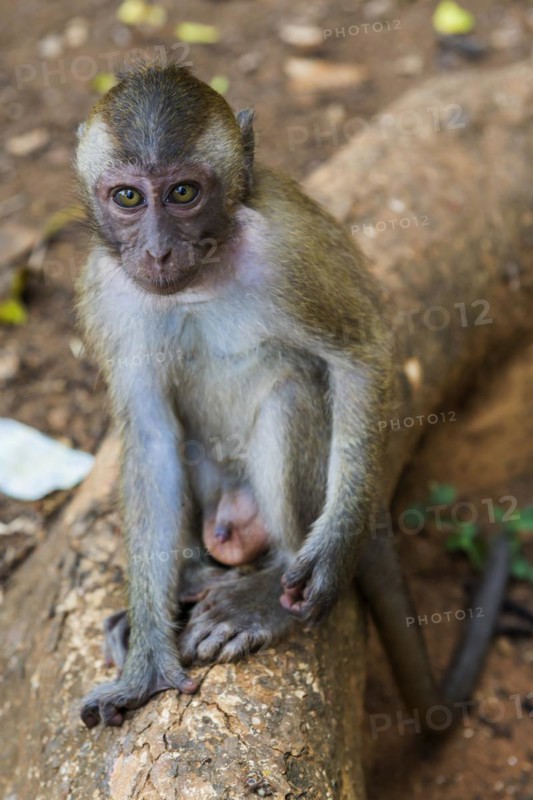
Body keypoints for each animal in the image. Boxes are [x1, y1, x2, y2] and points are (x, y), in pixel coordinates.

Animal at [76, 63, 511, 729]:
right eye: (128, 197)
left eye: (183, 193)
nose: (156, 250)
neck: (202, 274)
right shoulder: (108, 289)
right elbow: (150, 438)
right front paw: (147, 662)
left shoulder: (287, 250)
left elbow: (361, 353)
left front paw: (332, 551)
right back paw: (188, 578)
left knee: (291, 393)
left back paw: (268, 590)